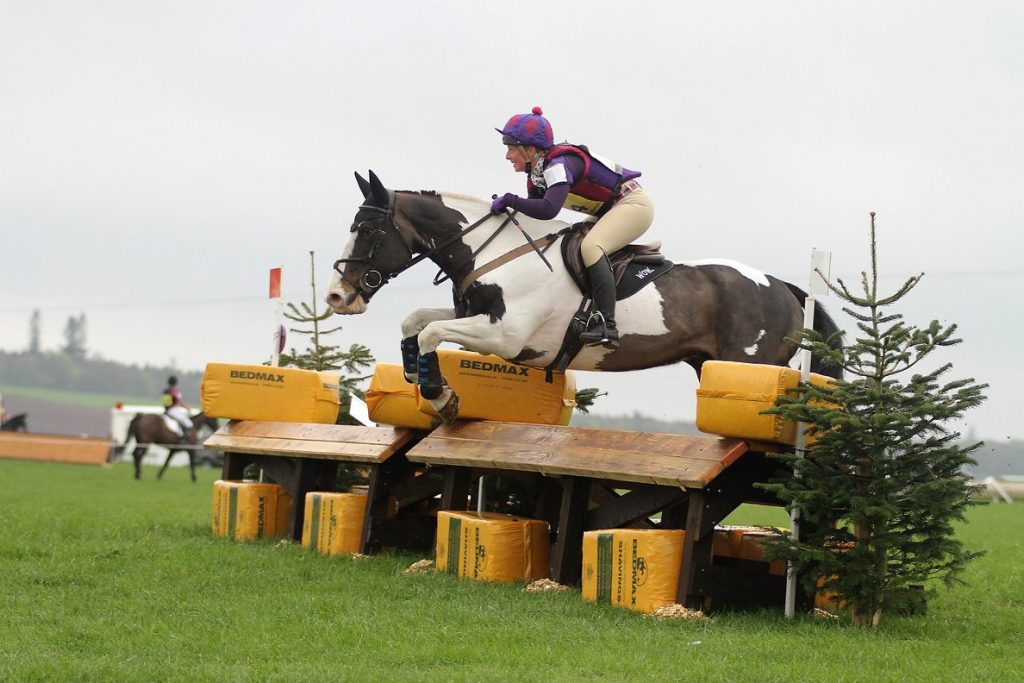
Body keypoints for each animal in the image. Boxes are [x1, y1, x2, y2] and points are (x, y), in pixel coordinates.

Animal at [325, 169, 839, 421]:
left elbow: (432, 331)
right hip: (710, 363)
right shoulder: (475, 317)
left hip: (751, 364)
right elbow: (415, 321)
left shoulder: (505, 337)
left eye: (367, 230)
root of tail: (784, 286)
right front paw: (419, 376)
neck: (495, 252)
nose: (336, 296)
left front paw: (441, 397)